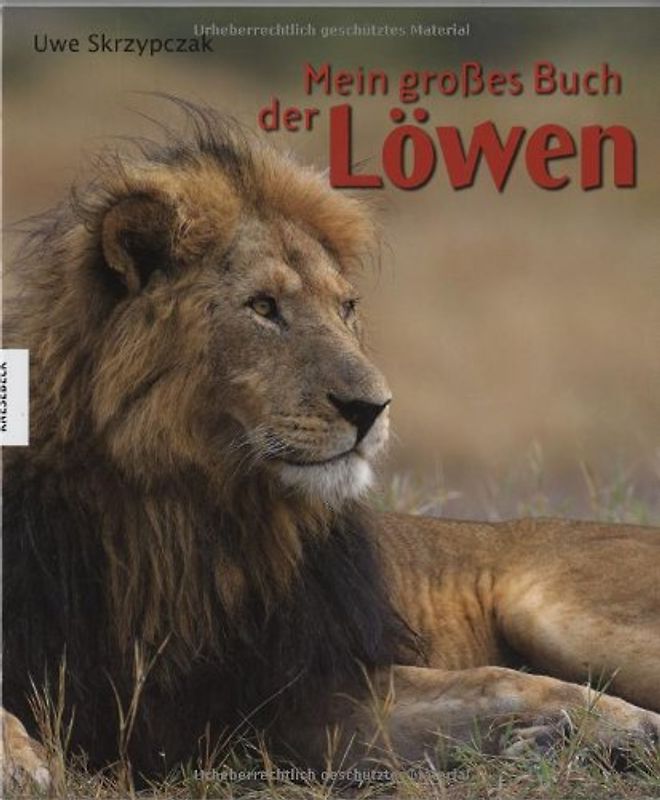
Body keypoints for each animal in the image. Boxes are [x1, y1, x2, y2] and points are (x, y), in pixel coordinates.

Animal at [3, 101, 660, 789]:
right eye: (264, 307)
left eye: (346, 308)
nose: (373, 409)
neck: (187, 514)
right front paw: (21, 764)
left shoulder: (306, 686)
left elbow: (495, 680)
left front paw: (619, 724)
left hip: (556, 609)